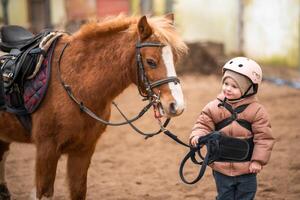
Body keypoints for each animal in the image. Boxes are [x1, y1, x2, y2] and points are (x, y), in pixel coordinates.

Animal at [0, 13, 188, 199]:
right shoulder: (46, 149)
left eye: (175, 59)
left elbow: (78, 191)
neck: (76, 84)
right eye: (150, 61)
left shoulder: (83, 150)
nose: (176, 105)